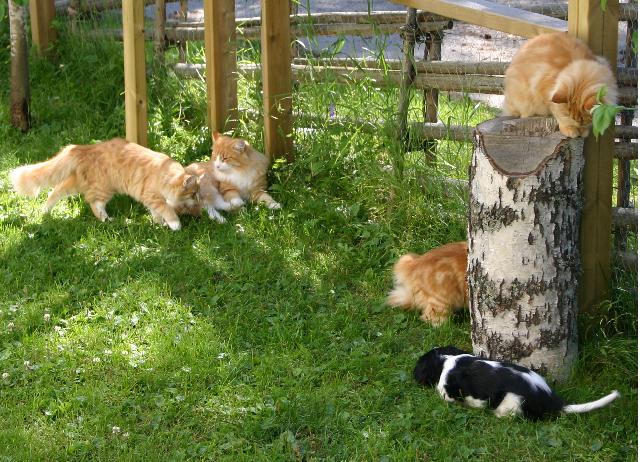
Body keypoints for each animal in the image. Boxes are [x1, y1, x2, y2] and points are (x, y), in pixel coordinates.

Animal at [10, 138, 200, 230]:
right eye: (193, 194)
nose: (198, 200)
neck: (164, 174)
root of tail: (82, 148)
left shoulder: (152, 199)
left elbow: (157, 212)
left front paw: (160, 223)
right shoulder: (151, 195)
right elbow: (166, 209)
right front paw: (175, 224)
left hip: (78, 183)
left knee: (55, 191)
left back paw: (45, 211)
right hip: (104, 188)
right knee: (95, 204)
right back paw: (107, 219)